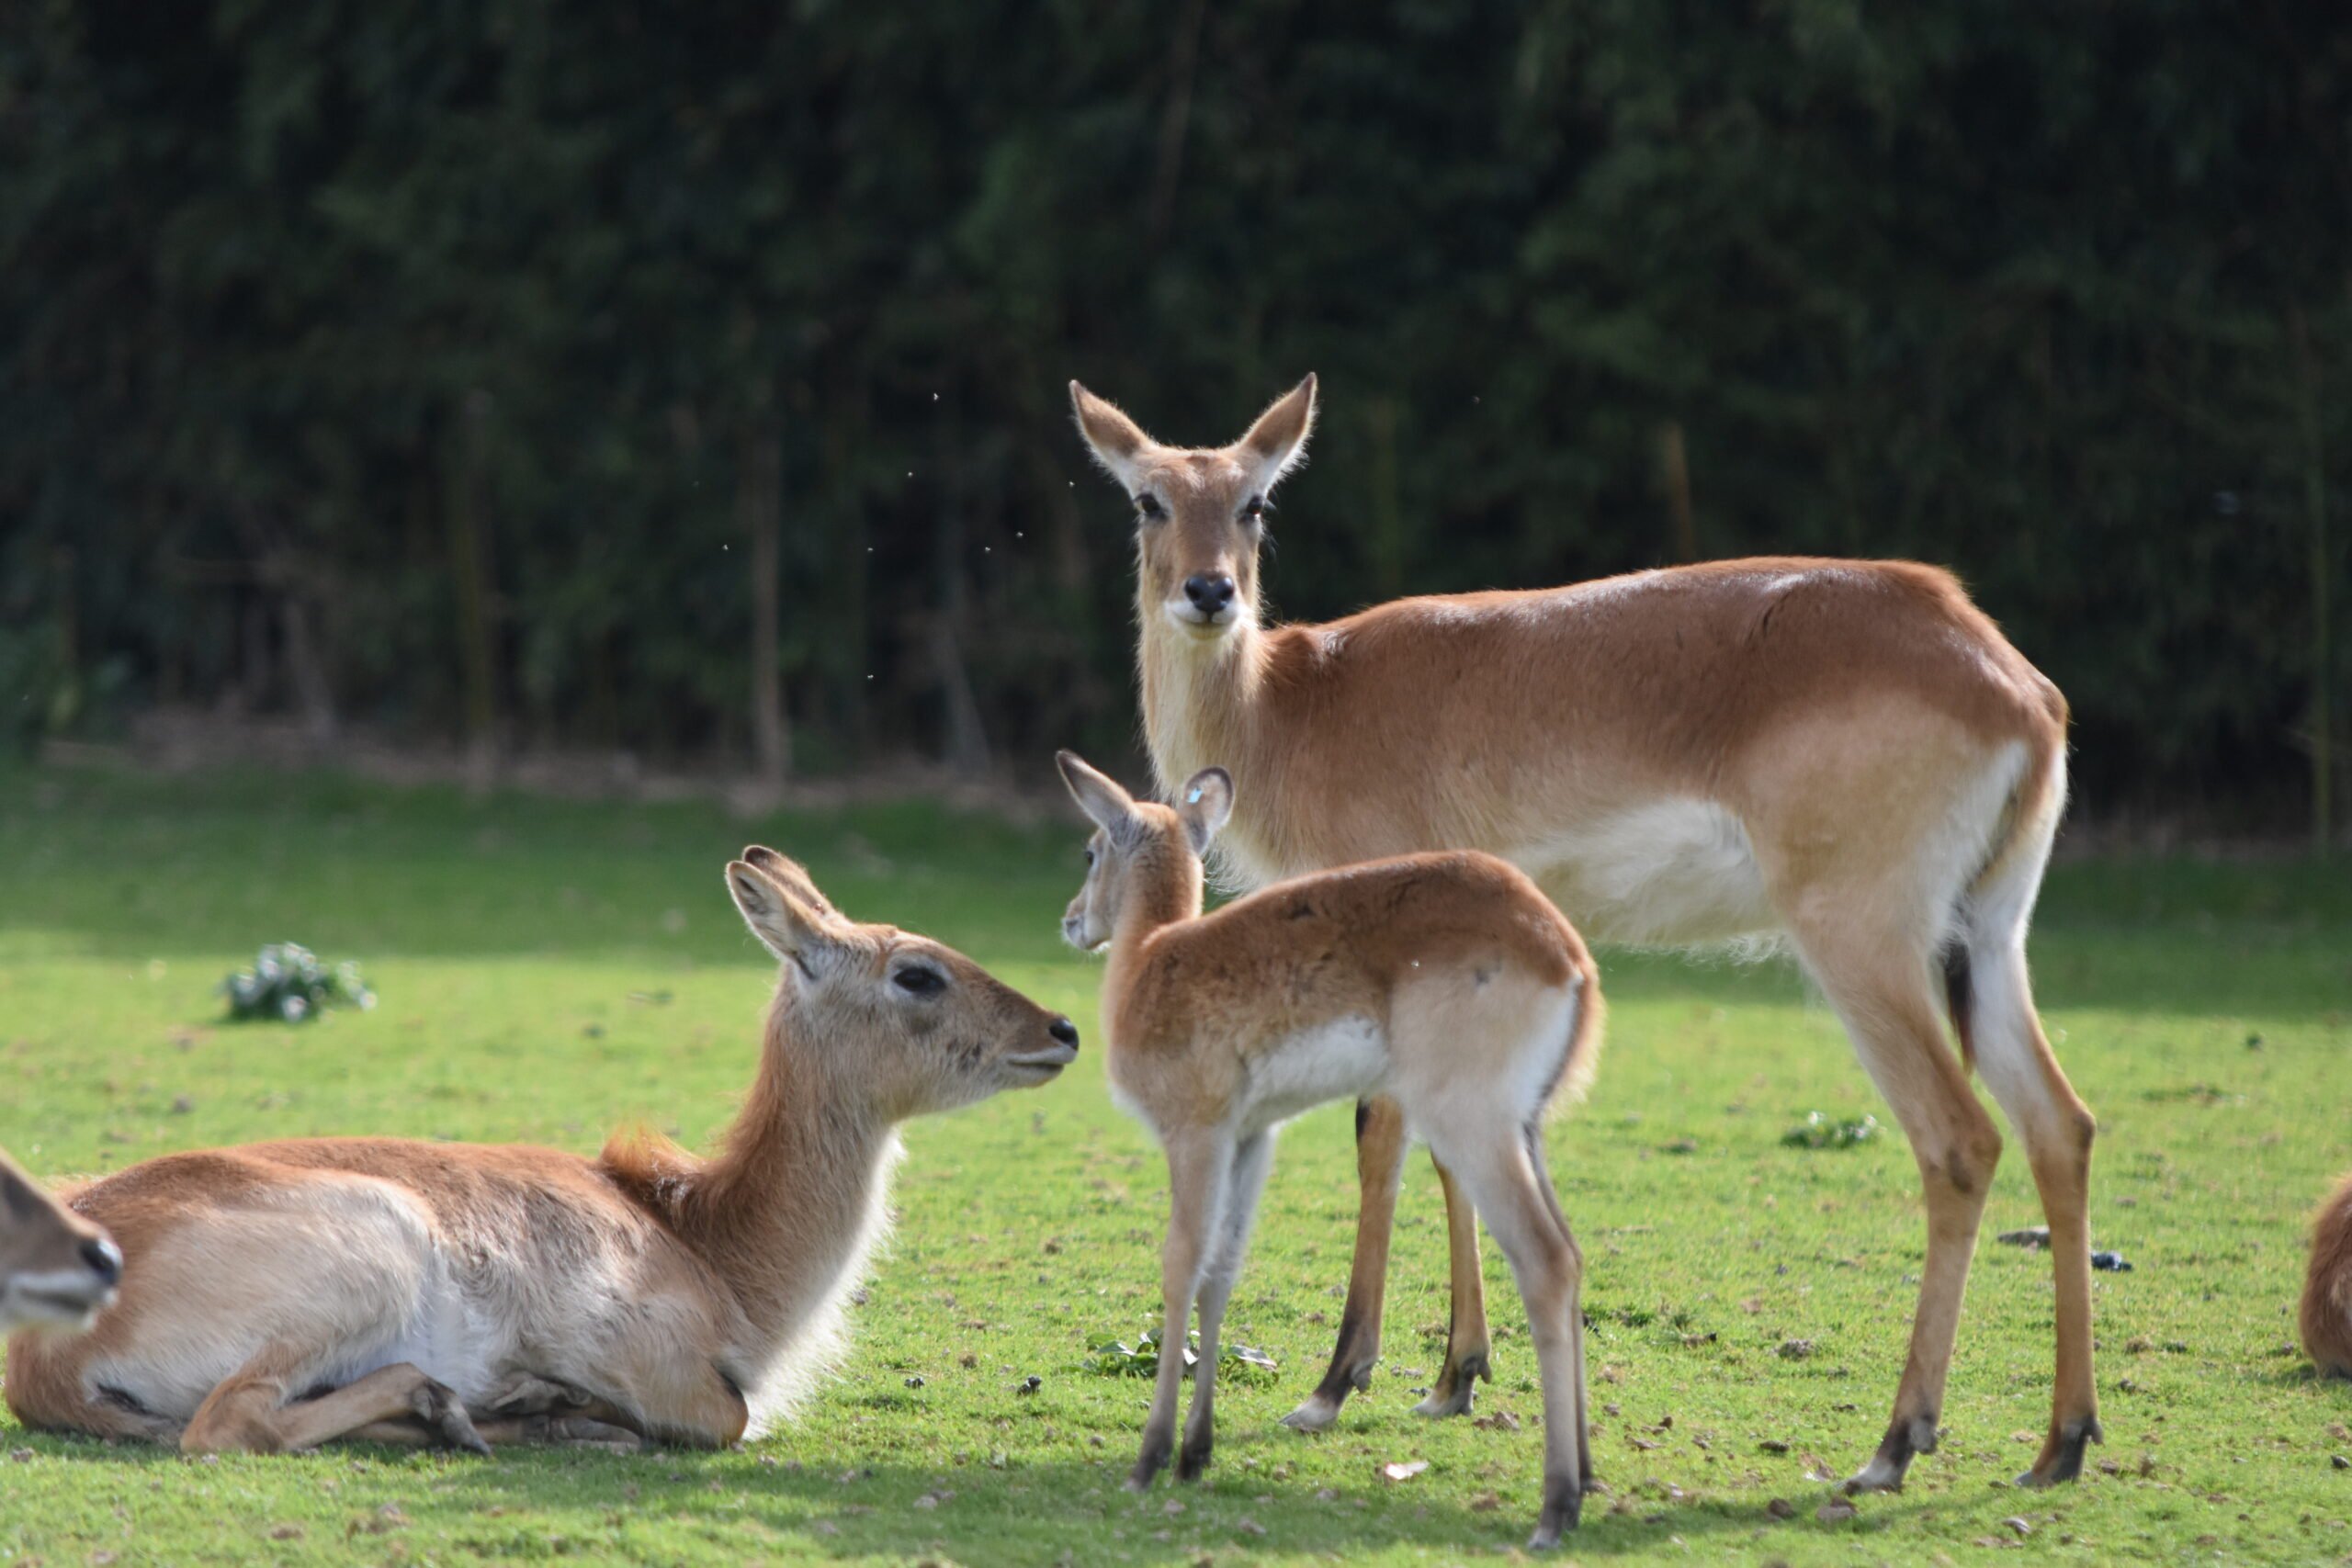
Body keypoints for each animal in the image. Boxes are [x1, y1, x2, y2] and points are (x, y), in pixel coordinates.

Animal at [1058, 751, 1609, 1551]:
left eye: (1091, 849)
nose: (1072, 920)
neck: (1152, 961)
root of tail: (1564, 951)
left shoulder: (1195, 1133)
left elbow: (1179, 1265)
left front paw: (1151, 1456)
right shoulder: (1250, 1136)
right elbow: (1221, 1273)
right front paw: (1196, 1452)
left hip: (1472, 1128)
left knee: (1546, 1260)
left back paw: (1555, 1507)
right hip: (1524, 1129)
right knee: (1571, 1254)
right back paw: (1586, 1477)